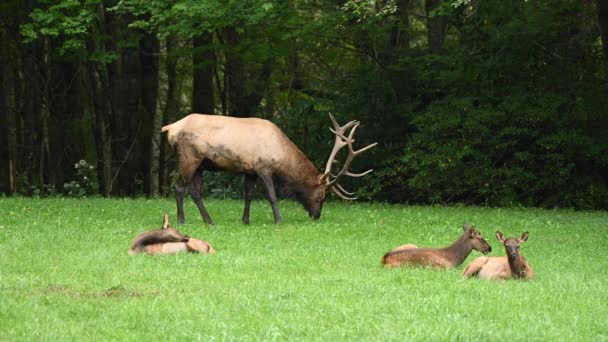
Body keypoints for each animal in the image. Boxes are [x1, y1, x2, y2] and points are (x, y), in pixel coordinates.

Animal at [164, 113, 378, 224]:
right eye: (321, 195)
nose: (316, 216)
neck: (281, 155)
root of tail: (169, 128)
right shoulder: (264, 167)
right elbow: (272, 196)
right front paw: (278, 220)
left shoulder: (250, 170)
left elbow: (248, 195)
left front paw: (245, 220)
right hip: (189, 157)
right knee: (179, 187)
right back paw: (182, 220)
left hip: (200, 164)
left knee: (195, 191)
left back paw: (209, 220)